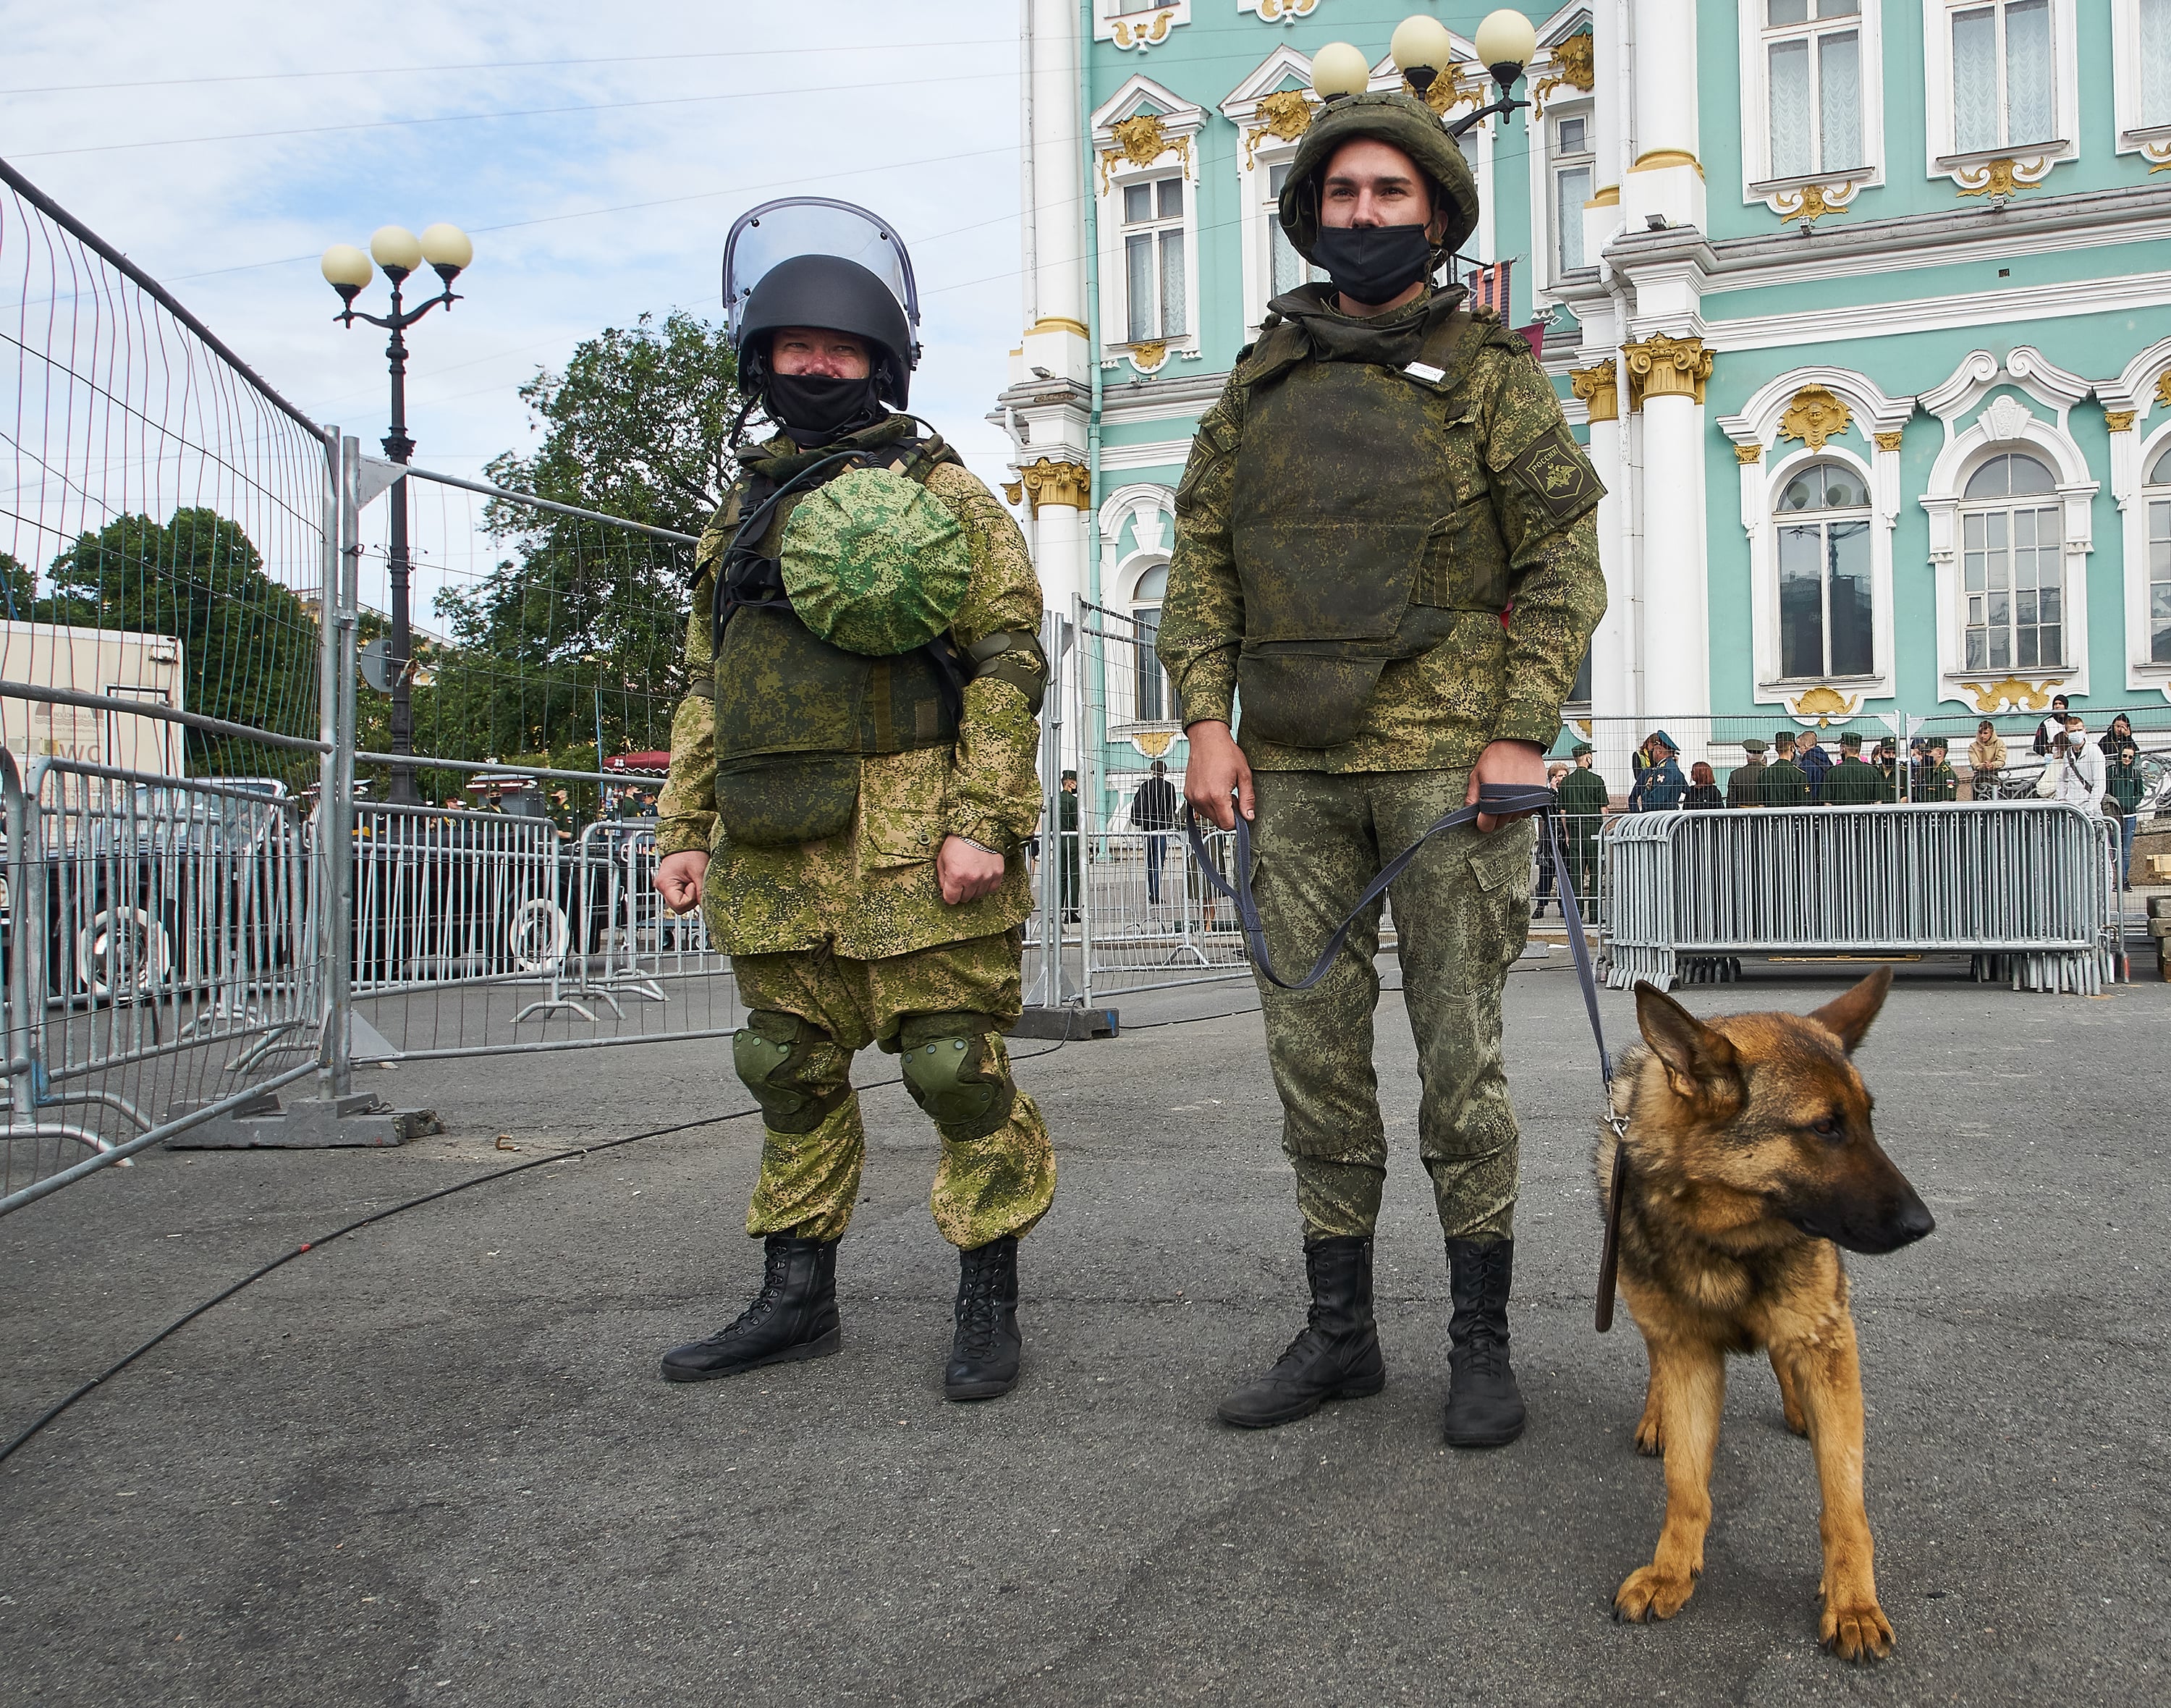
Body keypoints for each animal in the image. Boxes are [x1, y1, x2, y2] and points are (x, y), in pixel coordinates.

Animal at [1598, 968, 1937, 1667]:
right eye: (1825, 1128)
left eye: (1867, 1120)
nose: (1925, 1225)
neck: (1733, 1238)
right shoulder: (1690, 1356)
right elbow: (1686, 1486)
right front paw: (1671, 1571)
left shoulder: (1826, 1339)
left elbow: (1845, 1502)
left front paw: (1853, 1603)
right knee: (1655, 1357)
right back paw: (1657, 1416)